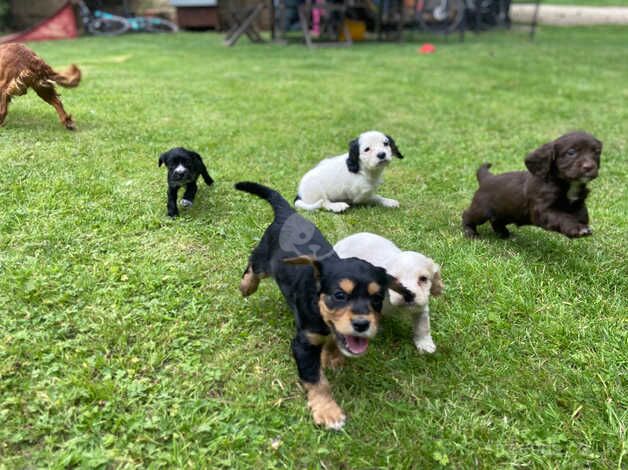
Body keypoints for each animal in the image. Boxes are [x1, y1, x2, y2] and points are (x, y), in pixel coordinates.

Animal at [234, 183, 412, 430]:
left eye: (377, 298)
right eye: (339, 295)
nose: (362, 324)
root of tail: (287, 213)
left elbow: (335, 343)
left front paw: (333, 357)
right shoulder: (304, 344)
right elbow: (317, 380)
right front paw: (329, 412)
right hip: (263, 258)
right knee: (253, 267)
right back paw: (246, 287)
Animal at [462, 131, 604, 239]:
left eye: (596, 152)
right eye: (571, 152)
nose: (589, 167)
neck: (567, 184)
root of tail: (487, 177)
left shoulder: (578, 202)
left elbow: (582, 213)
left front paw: (582, 224)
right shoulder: (542, 209)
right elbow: (561, 216)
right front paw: (576, 228)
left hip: (506, 212)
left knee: (496, 220)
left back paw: (504, 234)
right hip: (481, 210)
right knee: (467, 215)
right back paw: (470, 232)